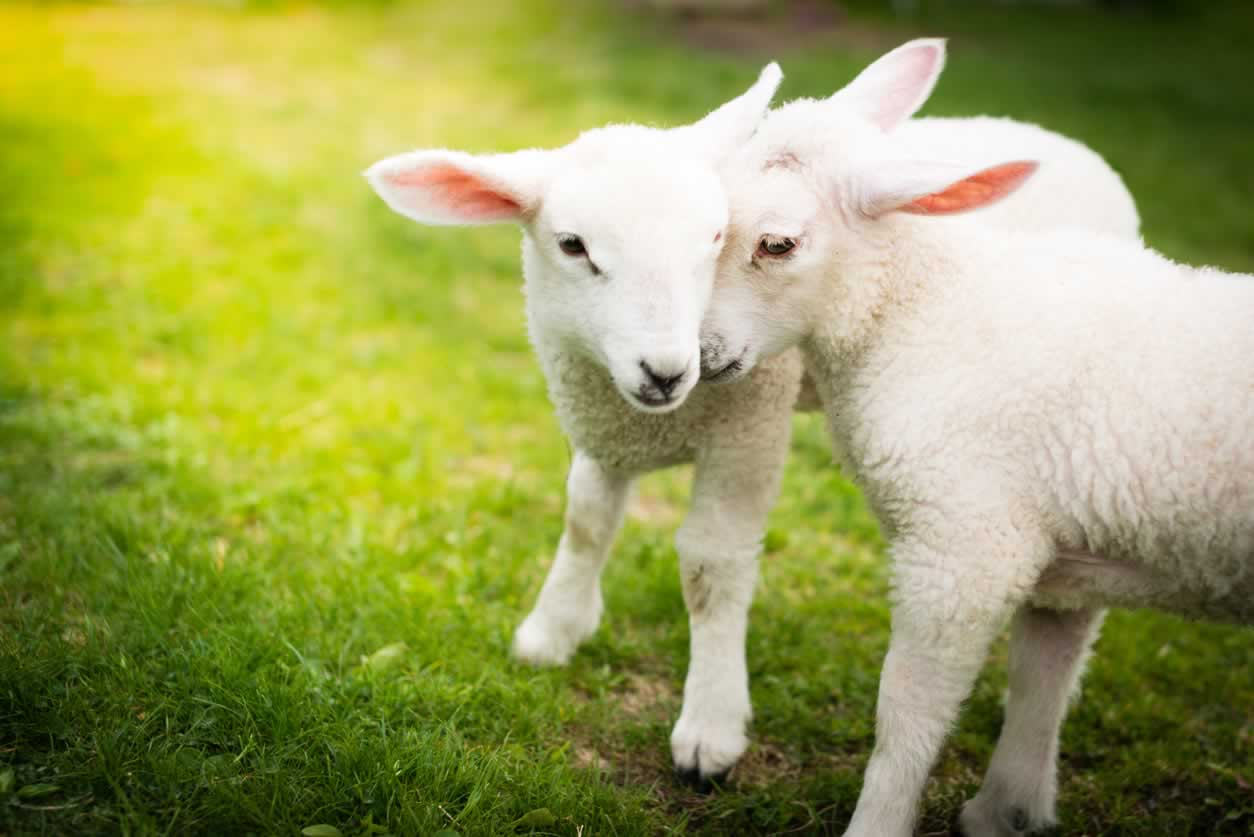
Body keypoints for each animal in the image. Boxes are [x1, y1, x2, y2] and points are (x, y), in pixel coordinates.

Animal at [366, 42, 1148, 788]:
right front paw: (554, 629)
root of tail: (1054, 137)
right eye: (572, 245)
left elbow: (711, 564)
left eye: (714, 237)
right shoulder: (605, 422)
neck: (655, 417)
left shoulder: (748, 429)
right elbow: (586, 518)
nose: (668, 370)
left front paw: (709, 727)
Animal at [702, 40, 1248, 837]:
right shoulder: (1070, 551)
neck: (922, 313)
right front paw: (1007, 811)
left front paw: (878, 822)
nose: (692, 355)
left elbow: (906, 714)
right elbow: (1042, 679)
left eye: (776, 244)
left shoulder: (964, 549)